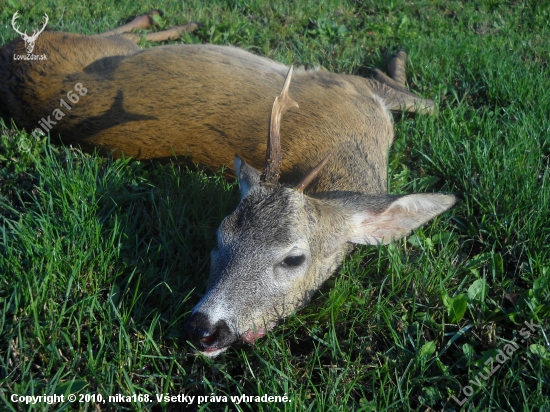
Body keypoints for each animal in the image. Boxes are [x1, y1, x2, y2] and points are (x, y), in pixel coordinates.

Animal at [0, 9, 458, 358]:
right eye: (219, 237)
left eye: (294, 258)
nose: (203, 329)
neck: (358, 146)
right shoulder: (344, 83)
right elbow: (426, 101)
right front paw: (394, 62)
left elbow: (425, 103)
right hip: (93, 47)